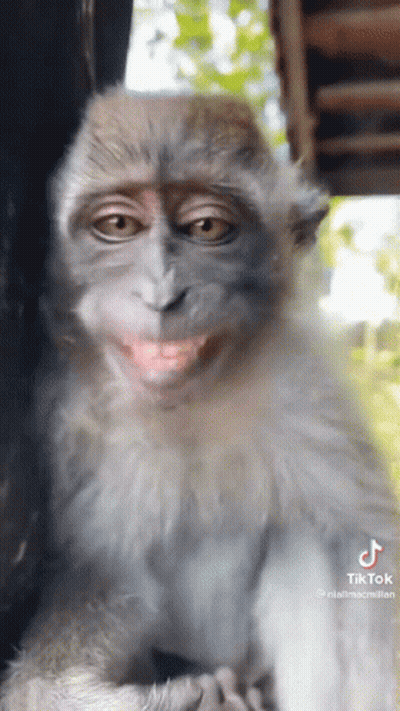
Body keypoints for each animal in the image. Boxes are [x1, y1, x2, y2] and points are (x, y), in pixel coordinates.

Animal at [0, 89, 397, 711]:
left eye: (207, 227)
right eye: (117, 224)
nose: (162, 294)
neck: (188, 405)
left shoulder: (311, 394)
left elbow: (360, 543)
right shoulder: (71, 426)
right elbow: (105, 582)